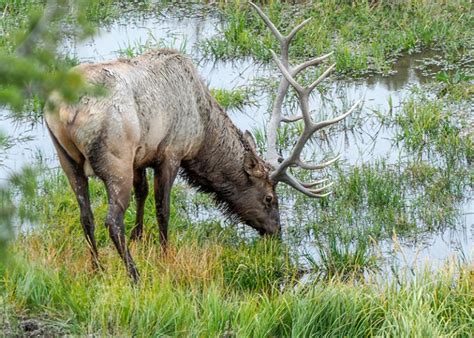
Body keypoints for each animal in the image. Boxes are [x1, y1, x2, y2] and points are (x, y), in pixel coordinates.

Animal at [46, 2, 362, 282]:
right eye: (269, 198)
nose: (277, 233)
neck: (202, 130)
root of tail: (68, 110)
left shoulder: (142, 154)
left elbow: (142, 192)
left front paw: (140, 237)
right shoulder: (172, 151)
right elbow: (163, 208)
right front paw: (166, 255)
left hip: (66, 157)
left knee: (85, 215)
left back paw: (97, 267)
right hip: (115, 158)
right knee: (111, 219)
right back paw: (134, 276)